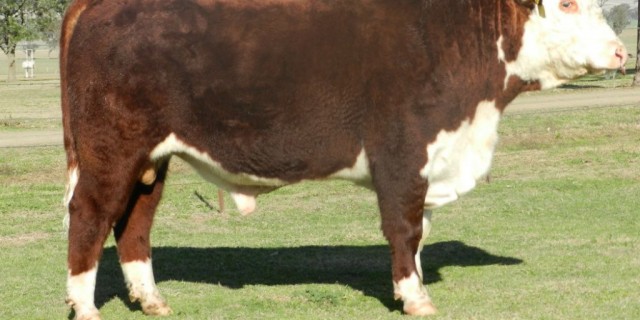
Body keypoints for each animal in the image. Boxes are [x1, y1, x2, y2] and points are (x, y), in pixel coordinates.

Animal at [60, 0, 624, 318]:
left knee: (134, 223)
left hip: (152, 158)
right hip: (111, 149)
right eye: (568, 3)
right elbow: (405, 227)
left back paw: (152, 301)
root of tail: (98, 4)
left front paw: (412, 286)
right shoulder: (401, 152)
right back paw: (84, 308)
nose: (622, 52)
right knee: (89, 216)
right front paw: (415, 297)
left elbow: (420, 229)